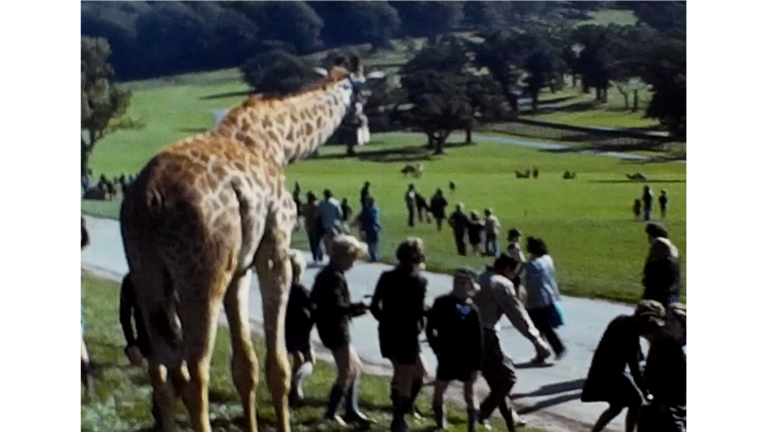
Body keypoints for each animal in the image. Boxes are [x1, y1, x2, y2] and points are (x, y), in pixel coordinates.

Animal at [121, 54, 388, 432]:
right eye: (363, 91)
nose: (362, 127)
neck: (279, 142)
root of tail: (148, 199)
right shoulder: (273, 251)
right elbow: (278, 366)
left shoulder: (239, 269)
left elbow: (244, 366)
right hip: (201, 275)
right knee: (194, 371)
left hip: (147, 275)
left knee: (160, 370)